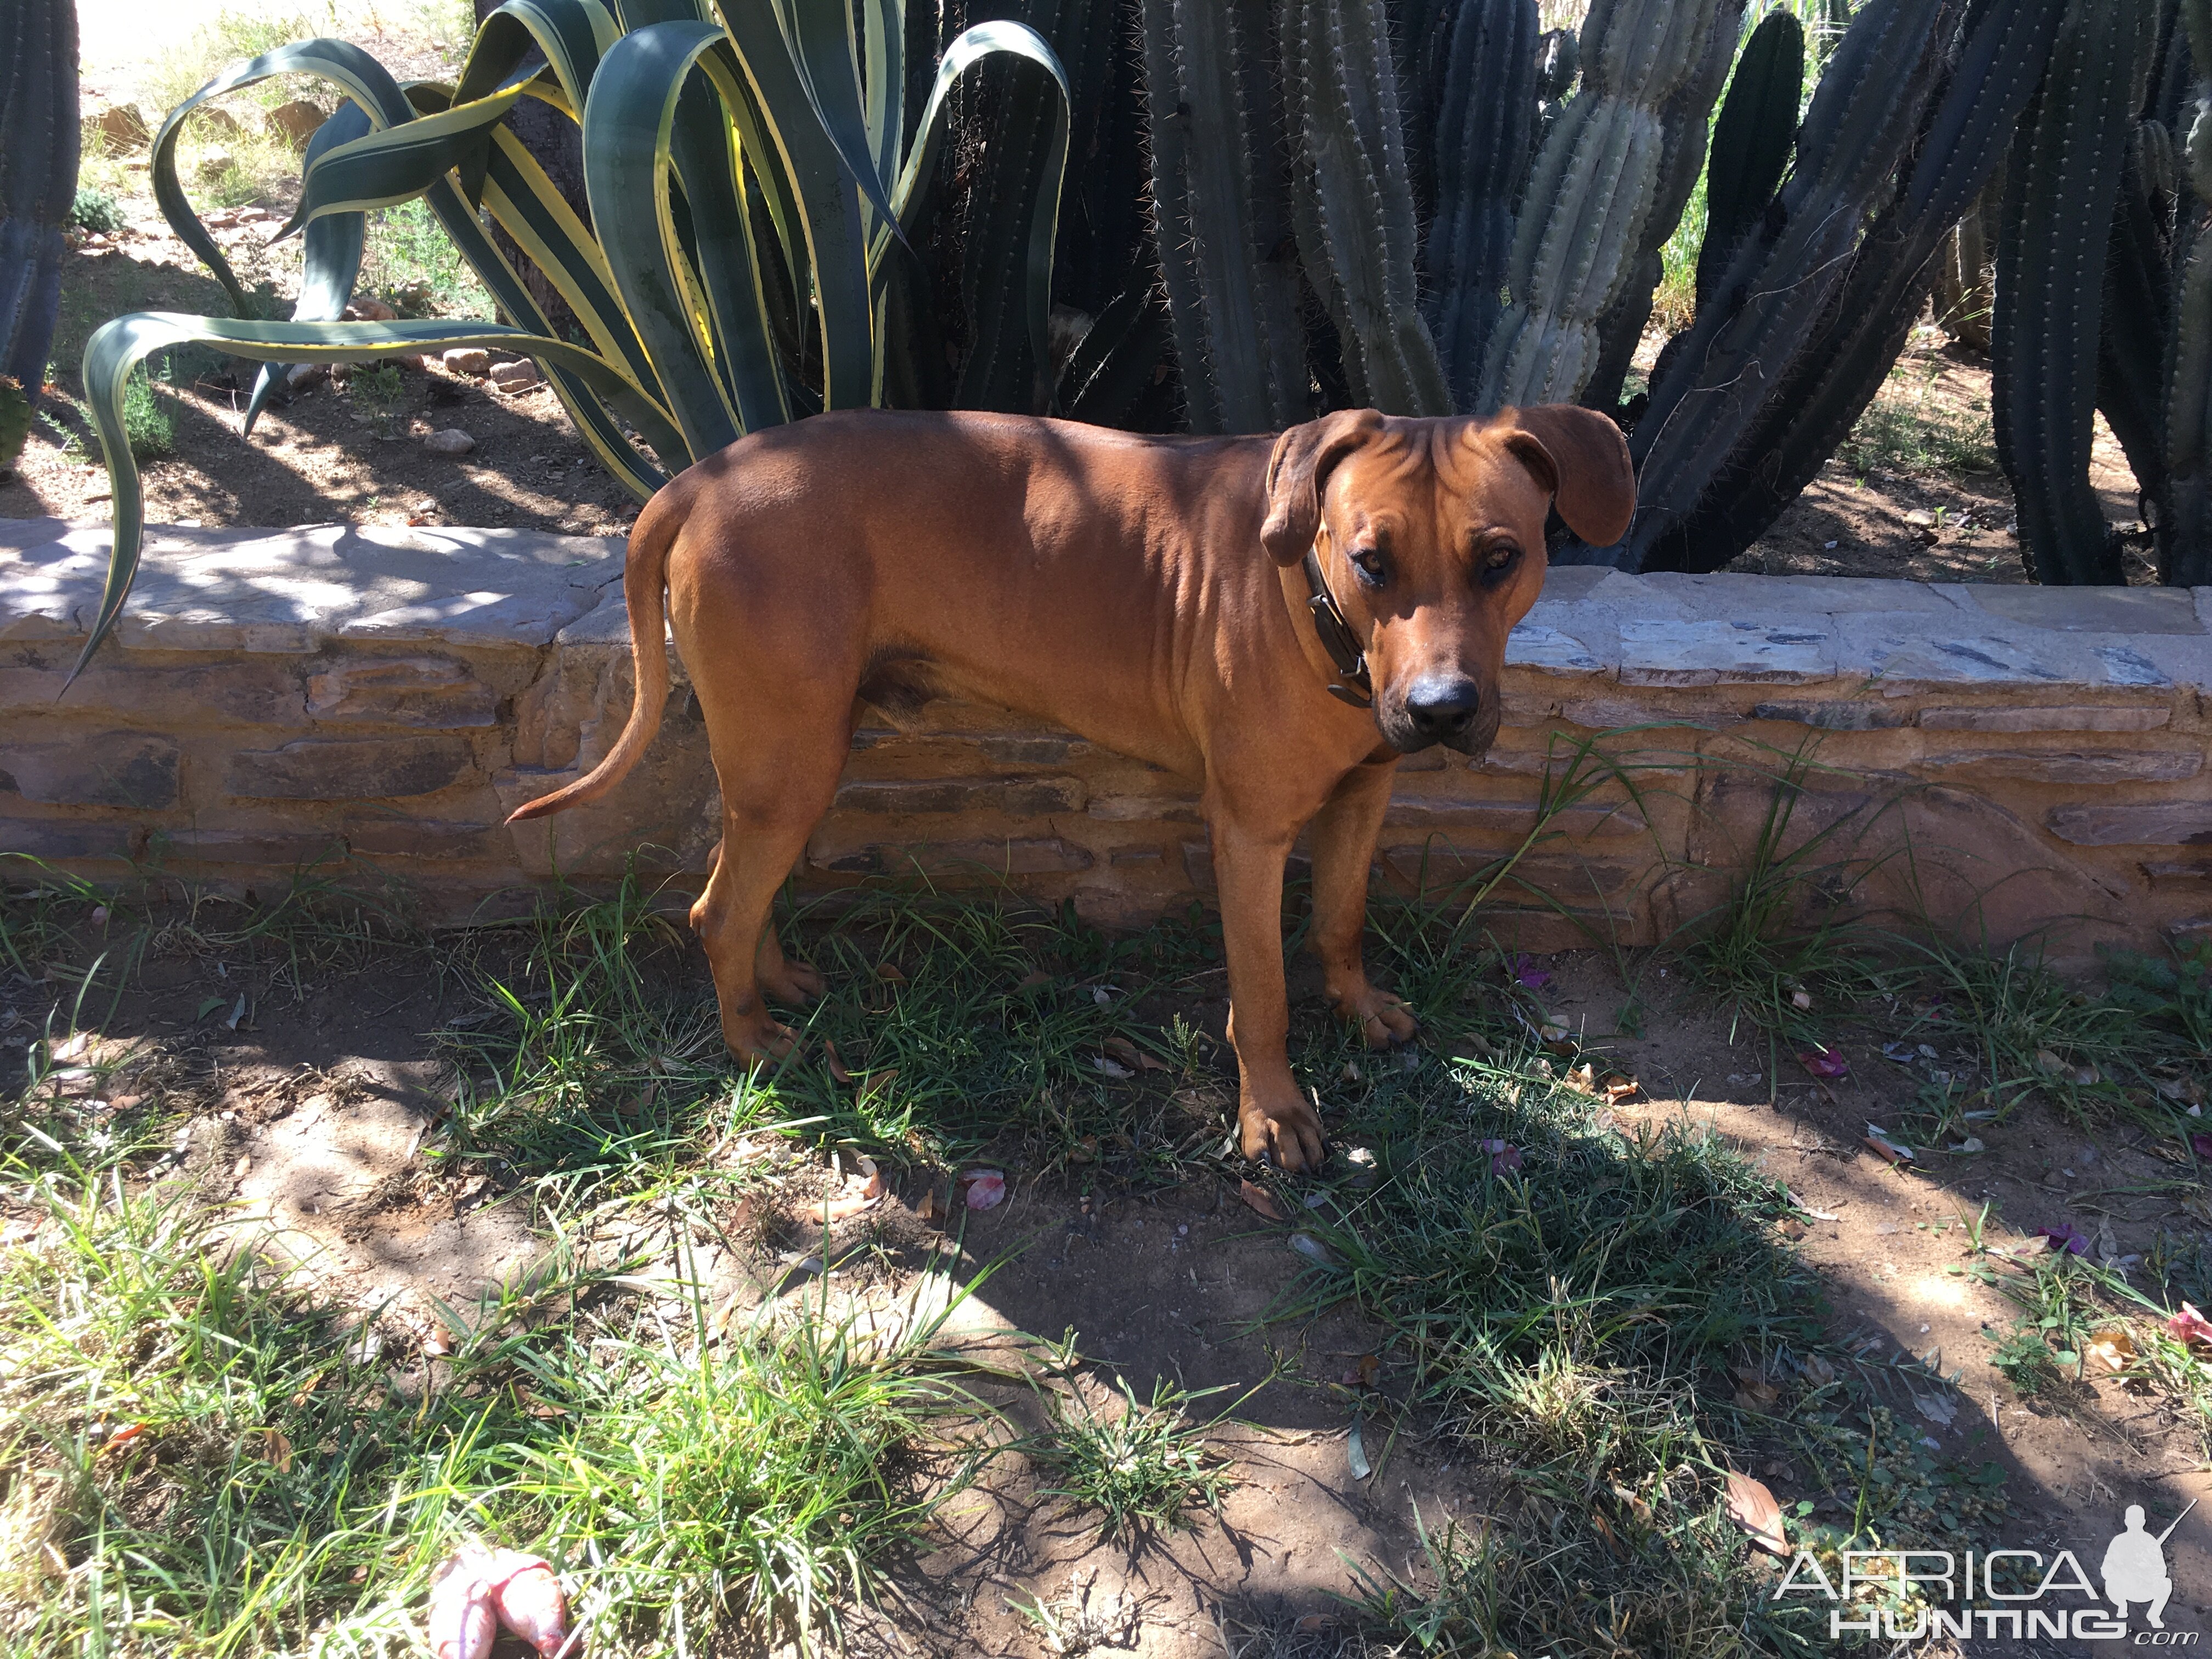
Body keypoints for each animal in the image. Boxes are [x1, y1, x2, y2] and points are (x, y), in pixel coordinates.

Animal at [509, 409, 1637, 1177]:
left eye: (1500, 559)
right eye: (1370, 560)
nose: (1443, 709)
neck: (1313, 603)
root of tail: (702, 475)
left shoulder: (1363, 795)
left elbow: (1342, 920)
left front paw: (1356, 1005)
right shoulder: (1250, 832)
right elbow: (1263, 991)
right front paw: (1272, 1110)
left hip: (793, 758)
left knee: (744, 887)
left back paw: (777, 979)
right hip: (792, 759)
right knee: (715, 908)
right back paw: (750, 1041)